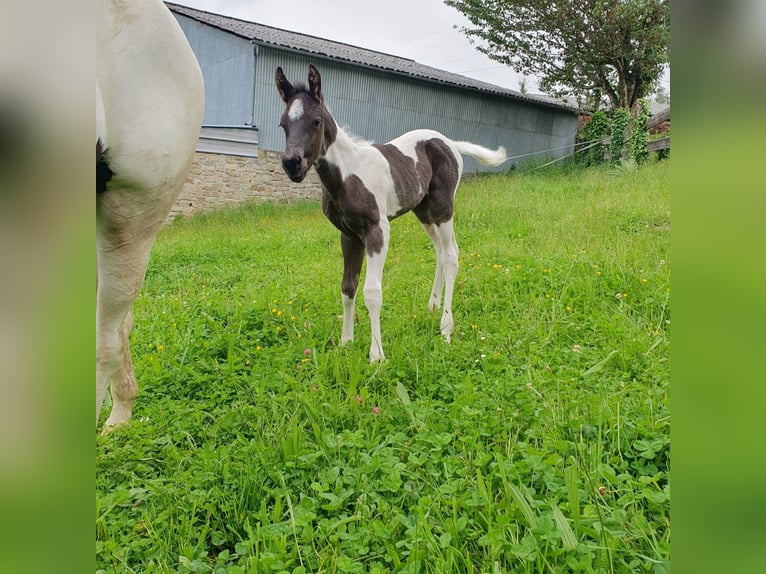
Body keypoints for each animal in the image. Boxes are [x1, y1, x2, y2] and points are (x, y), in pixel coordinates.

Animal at [278, 65, 510, 362]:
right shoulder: (348, 236)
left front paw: (376, 355)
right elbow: (347, 288)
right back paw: (432, 305)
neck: (346, 175)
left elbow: (372, 291)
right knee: (439, 251)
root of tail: (450, 143)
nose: (291, 164)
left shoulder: (377, 231)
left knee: (451, 255)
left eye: (316, 121)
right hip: (423, 211)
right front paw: (346, 342)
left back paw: (446, 327)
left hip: (443, 207)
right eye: (283, 124)